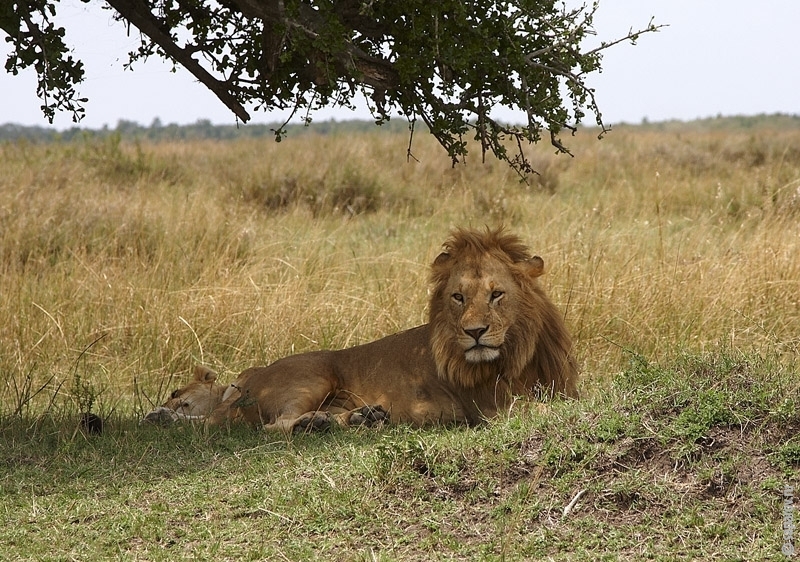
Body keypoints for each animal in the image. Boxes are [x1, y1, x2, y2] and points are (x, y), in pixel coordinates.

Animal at [147, 225, 580, 430]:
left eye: (496, 295)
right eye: (458, 297)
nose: (474, 332)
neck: (519, 354)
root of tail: (247, 380)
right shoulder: (490, 408)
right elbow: (546, 410)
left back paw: (358, 419)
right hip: (312, 377)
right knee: (274, 425)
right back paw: (315, 424)